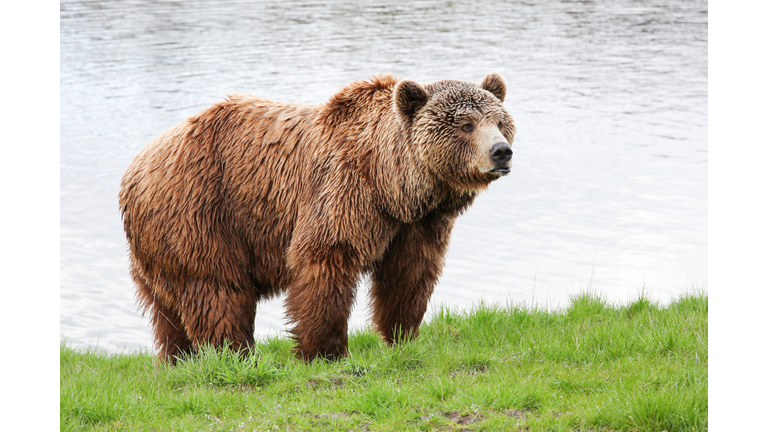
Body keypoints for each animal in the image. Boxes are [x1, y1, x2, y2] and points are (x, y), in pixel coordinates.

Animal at [120, 73, 516, 362]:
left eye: (499, 121)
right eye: (465, 124)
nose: (501, 152)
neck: (392, 183)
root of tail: (135, 168)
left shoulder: (417, 224)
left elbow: (409, 275)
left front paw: (403, 336)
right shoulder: (342, 190)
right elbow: (326, 261)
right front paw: (325, 351)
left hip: (158, 246)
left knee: (168, 312)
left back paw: (178, 359)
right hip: (198, 213)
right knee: (216, 290)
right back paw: (235, 354)